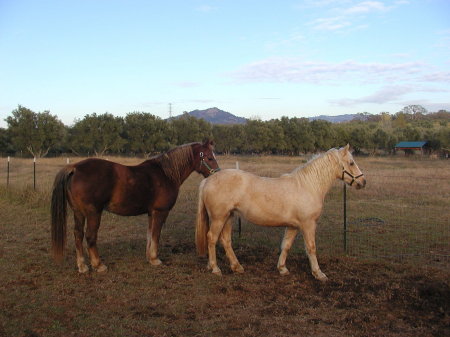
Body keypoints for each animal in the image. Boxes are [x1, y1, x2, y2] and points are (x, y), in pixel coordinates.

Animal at [51, 138, 220, 272]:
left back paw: (82, 266)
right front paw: (155, 259)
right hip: (93, 212)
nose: (217, 174)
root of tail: (74, 168)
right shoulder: (160, 212)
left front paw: (149, 257)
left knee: (78, 235)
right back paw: (98, 265)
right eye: (209, 157)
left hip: (78, 212)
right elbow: (156, 234)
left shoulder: (151, 213)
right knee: (90, 236)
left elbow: (150, 234)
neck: (165, 174)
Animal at [195, 144, 364, 280]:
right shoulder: (308, 224)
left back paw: (236, 267)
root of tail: (207, 180)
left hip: (228, 216)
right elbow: (311, 247)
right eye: (351, 162)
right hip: (219, 218)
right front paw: (318, 273)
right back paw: (215, 268)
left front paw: (282, 268)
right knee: (211, 238)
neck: (307, 186)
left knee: (225, 240)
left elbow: (286, 245)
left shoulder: (293, 226)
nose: (363, 182)